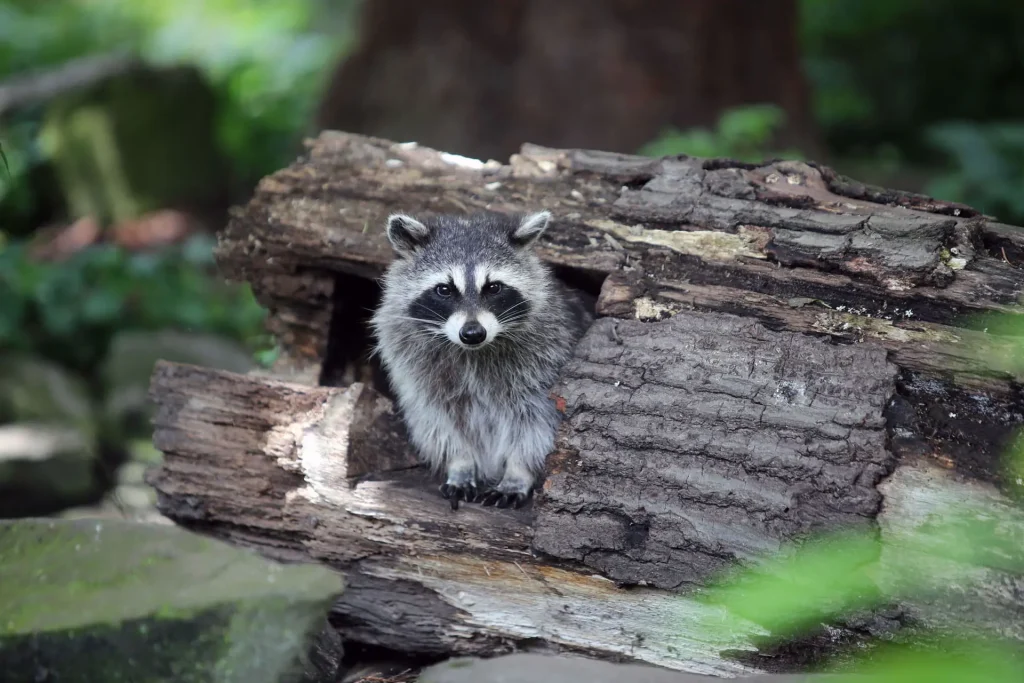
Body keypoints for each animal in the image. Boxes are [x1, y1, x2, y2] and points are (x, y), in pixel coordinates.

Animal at [370, 210, 592, 510]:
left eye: (494, 287)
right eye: (444, 289)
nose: (473, 333)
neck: (472, 352)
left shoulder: (547, 361)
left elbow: (536, 425)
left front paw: (517, 473)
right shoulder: (418, 372)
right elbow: (439, 421)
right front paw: (461, 464)